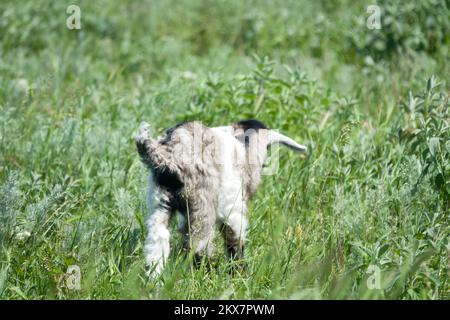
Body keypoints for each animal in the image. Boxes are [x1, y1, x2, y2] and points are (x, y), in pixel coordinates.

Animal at [135, 119, 308, 276]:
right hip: (202, 203)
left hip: (160, 201)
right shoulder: (232, 207)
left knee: (158, 238)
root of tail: (169, 154)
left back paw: (155, 278)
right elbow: (235, 239)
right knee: (199, 244)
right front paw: (239, 273)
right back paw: (209, 274)